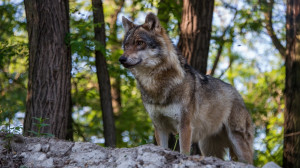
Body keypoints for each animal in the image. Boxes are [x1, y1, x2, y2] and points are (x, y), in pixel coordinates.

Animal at [119, 13, 253, 164]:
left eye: (140, 43)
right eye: (126, 46)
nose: (121, 59)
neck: (157, 85)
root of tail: (238, 94)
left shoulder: (185, 126)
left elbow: (184, 152)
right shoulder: (160, 127)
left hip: (237, 141)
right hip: (207, 147)